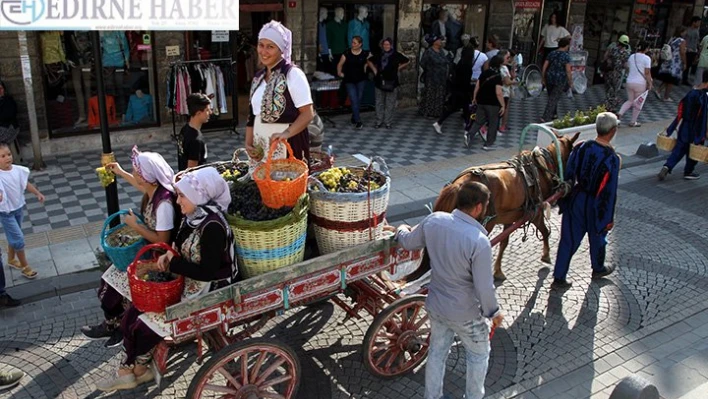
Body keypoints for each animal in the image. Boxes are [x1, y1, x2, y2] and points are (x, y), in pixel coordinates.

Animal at [406, 131, 580, 282]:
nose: (570, 182)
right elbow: (544, 230)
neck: (540, 167)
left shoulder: (510, 218)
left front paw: (498, 271)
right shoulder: (535, 212)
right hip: (486, 225)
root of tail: (458, 185)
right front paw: (546, 255)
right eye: (572, 154)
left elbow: (504, 242)